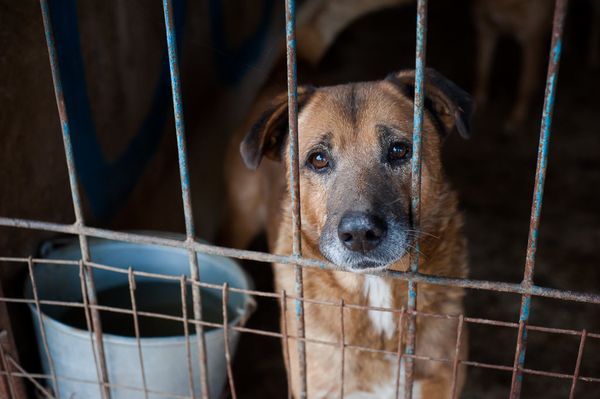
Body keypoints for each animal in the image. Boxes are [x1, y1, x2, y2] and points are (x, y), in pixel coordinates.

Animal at [474, 0, 552, 132]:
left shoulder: (532, 39)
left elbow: (524, 83)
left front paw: (516, 118)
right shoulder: (485, 28)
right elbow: (482, 70)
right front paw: (477, 102)